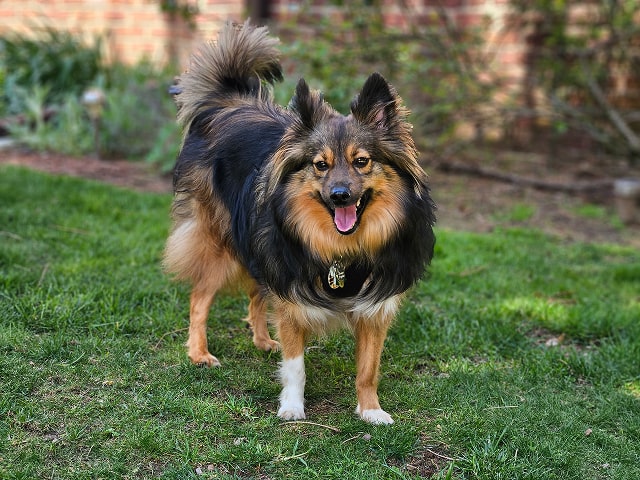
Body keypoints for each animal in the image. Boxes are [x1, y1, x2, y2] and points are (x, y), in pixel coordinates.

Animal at [162, 20, 438, 424]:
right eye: (320, 165)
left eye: (361, 161)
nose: (340, 195)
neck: (343, 248)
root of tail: (228, 104)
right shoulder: (291, 288)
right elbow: (295, 364)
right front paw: (292, 407)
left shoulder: (375, 306)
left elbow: (368, 369)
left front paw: (371, 410)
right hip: (222, 243)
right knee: (200, 297)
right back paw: (199, 353)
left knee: (256, 293)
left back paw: (263, 340)